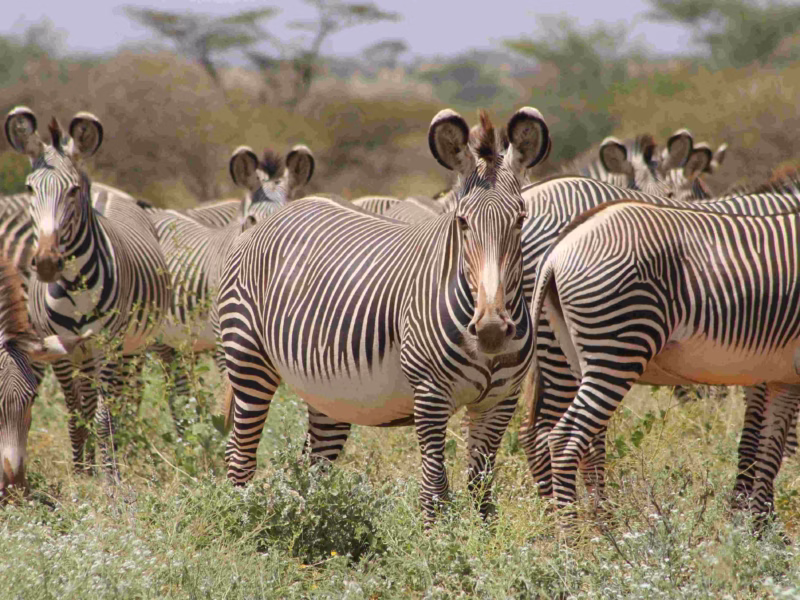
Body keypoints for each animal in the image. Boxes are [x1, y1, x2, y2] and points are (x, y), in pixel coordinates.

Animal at [5, 106, 170, 478]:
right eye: (29, 189)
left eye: (73, 190)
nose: (47, 263)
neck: (74, 286)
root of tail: (107, 193)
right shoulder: (59, 350)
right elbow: (76, 411)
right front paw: (82, 470)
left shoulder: (107, 345)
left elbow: (103, 416)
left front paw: (110, 475)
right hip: (85, 354)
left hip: (130, 348)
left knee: (125, 399)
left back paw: (121, 448)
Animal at [217, 107, 548, 519]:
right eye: (462, 222)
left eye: (520, 219)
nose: (490, 329)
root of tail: (274, 218)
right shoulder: (430, 396)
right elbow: (434, 492)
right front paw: (439, 537)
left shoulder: (500, 401)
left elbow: (483, 495)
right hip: (248, 359)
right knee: (240, 456)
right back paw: (241, 521)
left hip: (328, 390)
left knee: (314, 465)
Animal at [515, 173, 800, 503]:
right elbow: (763, 441)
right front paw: (748, 507)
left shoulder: (770, 369)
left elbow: (766, 444)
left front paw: (751, 511)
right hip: (604, 346)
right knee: (553, 435)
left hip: (570, 351)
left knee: (560, 436)